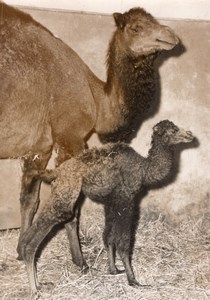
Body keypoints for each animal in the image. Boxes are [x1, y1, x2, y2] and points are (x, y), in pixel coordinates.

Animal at [19, 120, 194, 296]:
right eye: (173, 130)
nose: (190, 134)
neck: (144, 169)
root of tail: (56, 172)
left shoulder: (111, 202)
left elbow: (108, 236)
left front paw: (114, 270)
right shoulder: (126, 200)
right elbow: (123, 243)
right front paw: (133, 281)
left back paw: (37, 280)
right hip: (66, 193)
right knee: (43, 232)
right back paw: (34, 289)